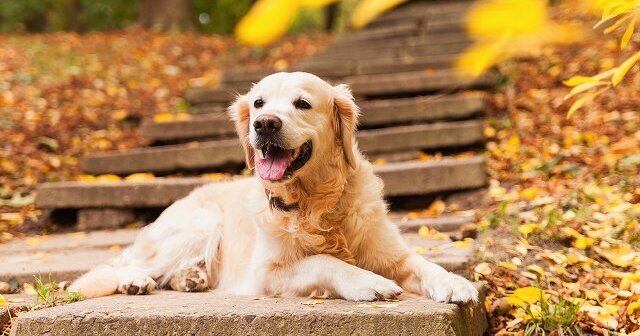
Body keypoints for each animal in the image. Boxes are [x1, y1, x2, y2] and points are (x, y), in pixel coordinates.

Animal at [71, 72, 480, 304]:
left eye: (302, 103)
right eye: (258, 103)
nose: (264, 123)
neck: (315, 203)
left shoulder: (393, 254)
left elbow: (426, 264)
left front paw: (455, 283)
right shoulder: (266, 273)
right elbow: (323, 260)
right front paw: (368, 282)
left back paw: (190, 278)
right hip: (202, 222)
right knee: (123, 264)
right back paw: (136, 281)